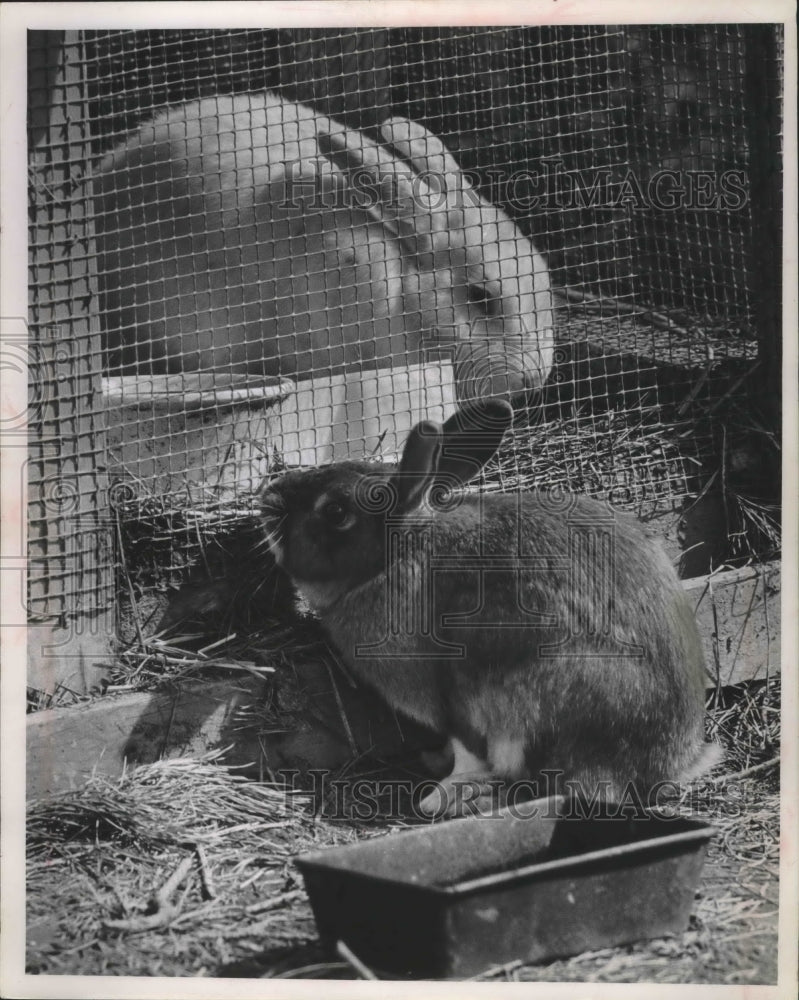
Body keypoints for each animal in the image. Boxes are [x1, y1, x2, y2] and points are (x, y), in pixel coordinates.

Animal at [260, 397, 721, 816]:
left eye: (335, 511)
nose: (268, 497)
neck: (394, 558)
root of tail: (668, 764)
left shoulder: (454, 701)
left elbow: (468, 751)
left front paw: (442, 793)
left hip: (528, 704)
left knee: (548, 786)